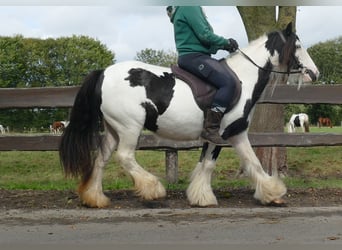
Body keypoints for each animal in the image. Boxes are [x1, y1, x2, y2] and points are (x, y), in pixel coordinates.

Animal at [59, 23, 320, 208]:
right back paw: (153, 189)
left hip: (113, 129)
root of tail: (103, 72)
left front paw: (271, 193)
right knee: (124, 156)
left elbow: (246, 162)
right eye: (298, 46)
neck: (243, 78)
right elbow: (215, 164)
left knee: (101, 159)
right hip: (129, 127)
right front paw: (205, 198)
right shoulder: (223, 133)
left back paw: (95, 198)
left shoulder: (233, 134)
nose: (314, 73)